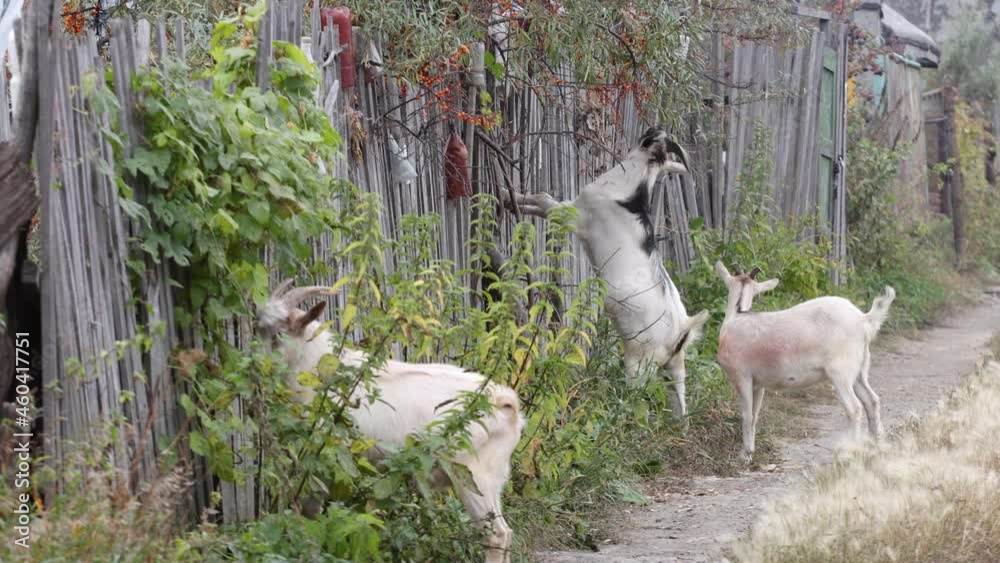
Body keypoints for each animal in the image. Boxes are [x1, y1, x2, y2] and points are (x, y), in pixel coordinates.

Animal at [258, 281, 523, 563]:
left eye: (278, 335)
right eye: (258, 329)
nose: (259, 366)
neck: (319, 368)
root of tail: (506, 402)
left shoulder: (323, 457)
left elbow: (312, 512)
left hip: (471, 475)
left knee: (496, 535)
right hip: (493, 479)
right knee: (506, 532)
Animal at [504, 126, 709, 417]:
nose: (649, 130)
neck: (627, 194)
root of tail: (681, 332)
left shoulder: (574, 215)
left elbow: (543, 199)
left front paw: (504, 194)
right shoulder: (571, 207)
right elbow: (540, 203)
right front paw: (511, 202)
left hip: (639, 363)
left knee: (636, 398)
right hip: (675, 369)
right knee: (681, 406)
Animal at [714, 262, 895, 462]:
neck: (737, 317)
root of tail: (864, 320)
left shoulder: (742, 377)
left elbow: (746, 415)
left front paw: (745, 455)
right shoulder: (758, 383)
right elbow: (754, 415)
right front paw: (750, 451)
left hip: (840, 372)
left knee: (854, 408)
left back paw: (849, 453)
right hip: (859, 370)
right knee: (872, 400)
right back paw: (875, 447)